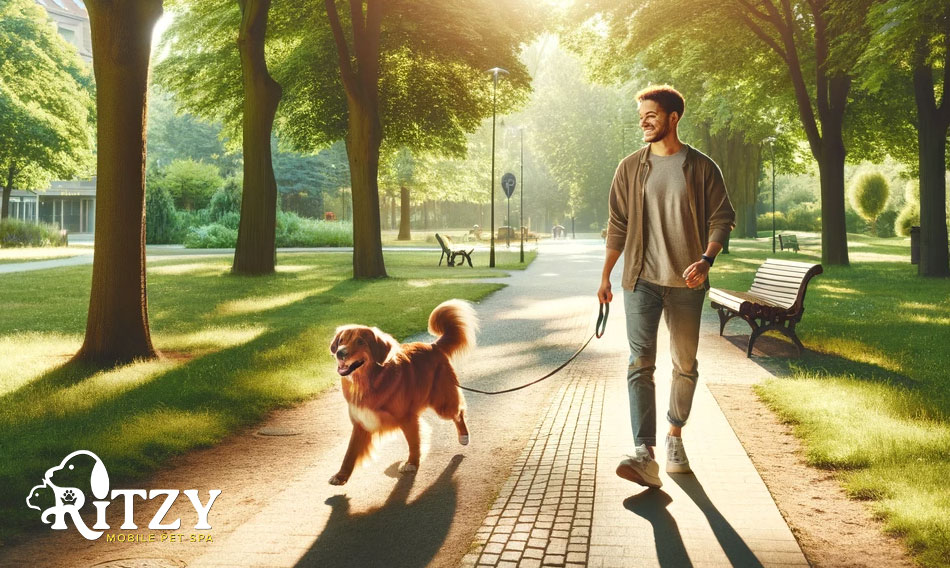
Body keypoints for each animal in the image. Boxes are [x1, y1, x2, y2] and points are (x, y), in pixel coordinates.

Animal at [330, 298, 480, 484]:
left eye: (360, 342)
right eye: (341, 340)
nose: (340, 353)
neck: (370, 381)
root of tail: (433, 346)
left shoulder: (407, 418)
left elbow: (414, 442)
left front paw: (412, 463)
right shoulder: (361, 422)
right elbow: (350, 452)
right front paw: (341, 475)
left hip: (442, 402)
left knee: (458, 413)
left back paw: (463, 436)